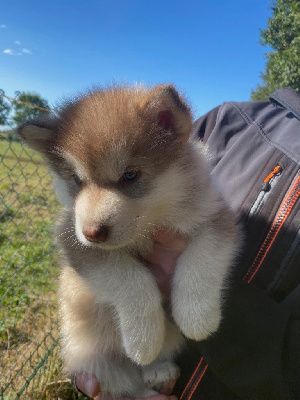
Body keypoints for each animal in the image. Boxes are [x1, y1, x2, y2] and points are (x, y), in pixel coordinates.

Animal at [17, 83, 238, 396]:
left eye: (130, 175)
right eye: (77, 180)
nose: (92, 232)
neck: (151, 222)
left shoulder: (216, 216)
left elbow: (201, 260)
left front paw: (197, 317)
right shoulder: (73, 241)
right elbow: (131, 280)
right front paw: (143, 339)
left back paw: (159, 369)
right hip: (92, 356)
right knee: (124, 387)